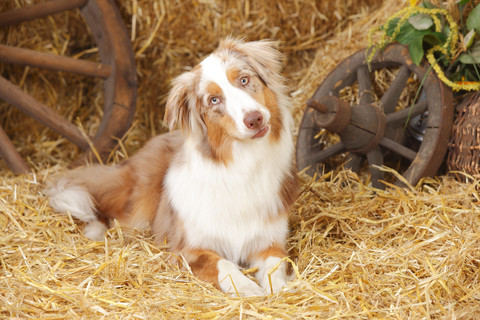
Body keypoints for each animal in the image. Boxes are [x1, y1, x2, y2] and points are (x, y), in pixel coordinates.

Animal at [47, 38, 296, 298]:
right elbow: (224, 264)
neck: (242, 164)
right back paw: (95, 229)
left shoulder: (270, 242)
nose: (255, 119)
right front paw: (248, 288)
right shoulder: (186, 250)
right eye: (214, 100)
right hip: (138, 199)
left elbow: (276, 265)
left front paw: (280, 288)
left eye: (244, 80)